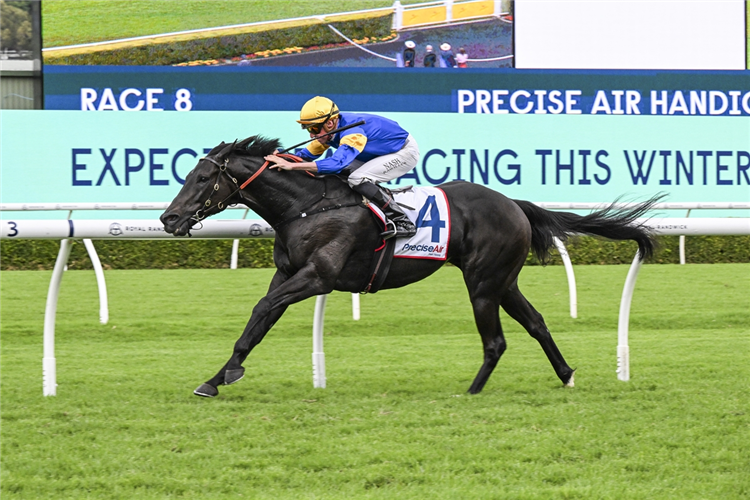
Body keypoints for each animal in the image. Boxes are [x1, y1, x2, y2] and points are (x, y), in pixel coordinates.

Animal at [160, 136, 659, 398]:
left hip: (482, 283)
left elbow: (261, 309)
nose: (168, 218)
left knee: (495, 341)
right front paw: (217, 378)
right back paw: (566, 374)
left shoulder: (317, 277)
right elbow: (257, 323)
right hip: (503, 280)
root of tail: (514, 204)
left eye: (202, 178)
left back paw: (471, 391)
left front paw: (224, 376)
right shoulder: (289, 275)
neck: (308, 206)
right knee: (536, 322)